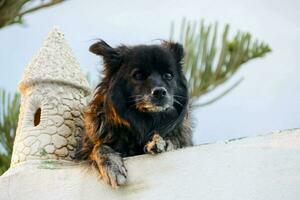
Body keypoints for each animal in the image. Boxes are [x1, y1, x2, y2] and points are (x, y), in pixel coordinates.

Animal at [75, 40, 192, 188]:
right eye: (138, 75)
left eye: (169, 75)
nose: (160, 92)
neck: (144, 121)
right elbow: (99, 147)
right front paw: (112, 166)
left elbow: (173, 140)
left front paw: (161, 141)